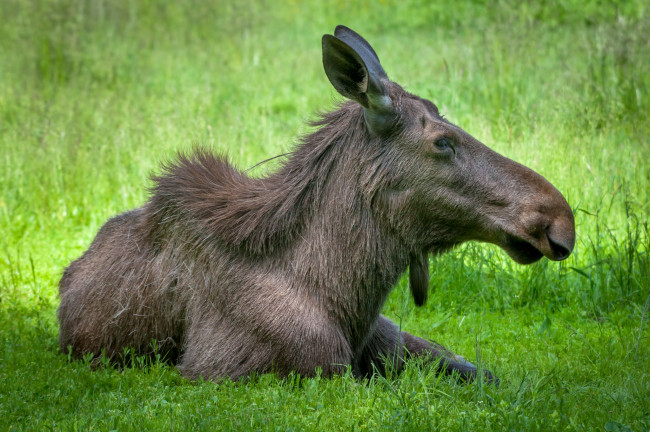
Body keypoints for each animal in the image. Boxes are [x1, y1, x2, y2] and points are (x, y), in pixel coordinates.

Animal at [57, 26, 572, 384]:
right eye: (442, 142)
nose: (559, 219)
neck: (343, 295)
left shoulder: (390, 337)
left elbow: (479, 371)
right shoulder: (241, 370)